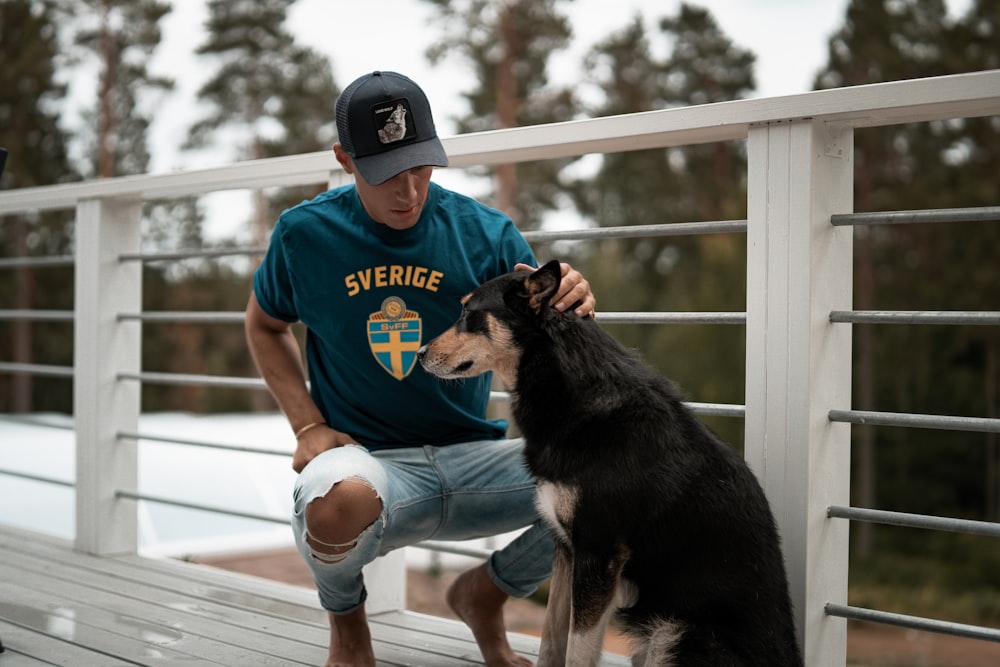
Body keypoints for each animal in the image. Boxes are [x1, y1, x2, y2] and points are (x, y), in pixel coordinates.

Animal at [418, 262, 800, 667]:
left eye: (467, 313)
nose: (420, 353)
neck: (567, 391)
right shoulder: (567, 550)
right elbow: (551, 641)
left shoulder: (599, 553)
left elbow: (576, 651)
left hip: (673, 636)